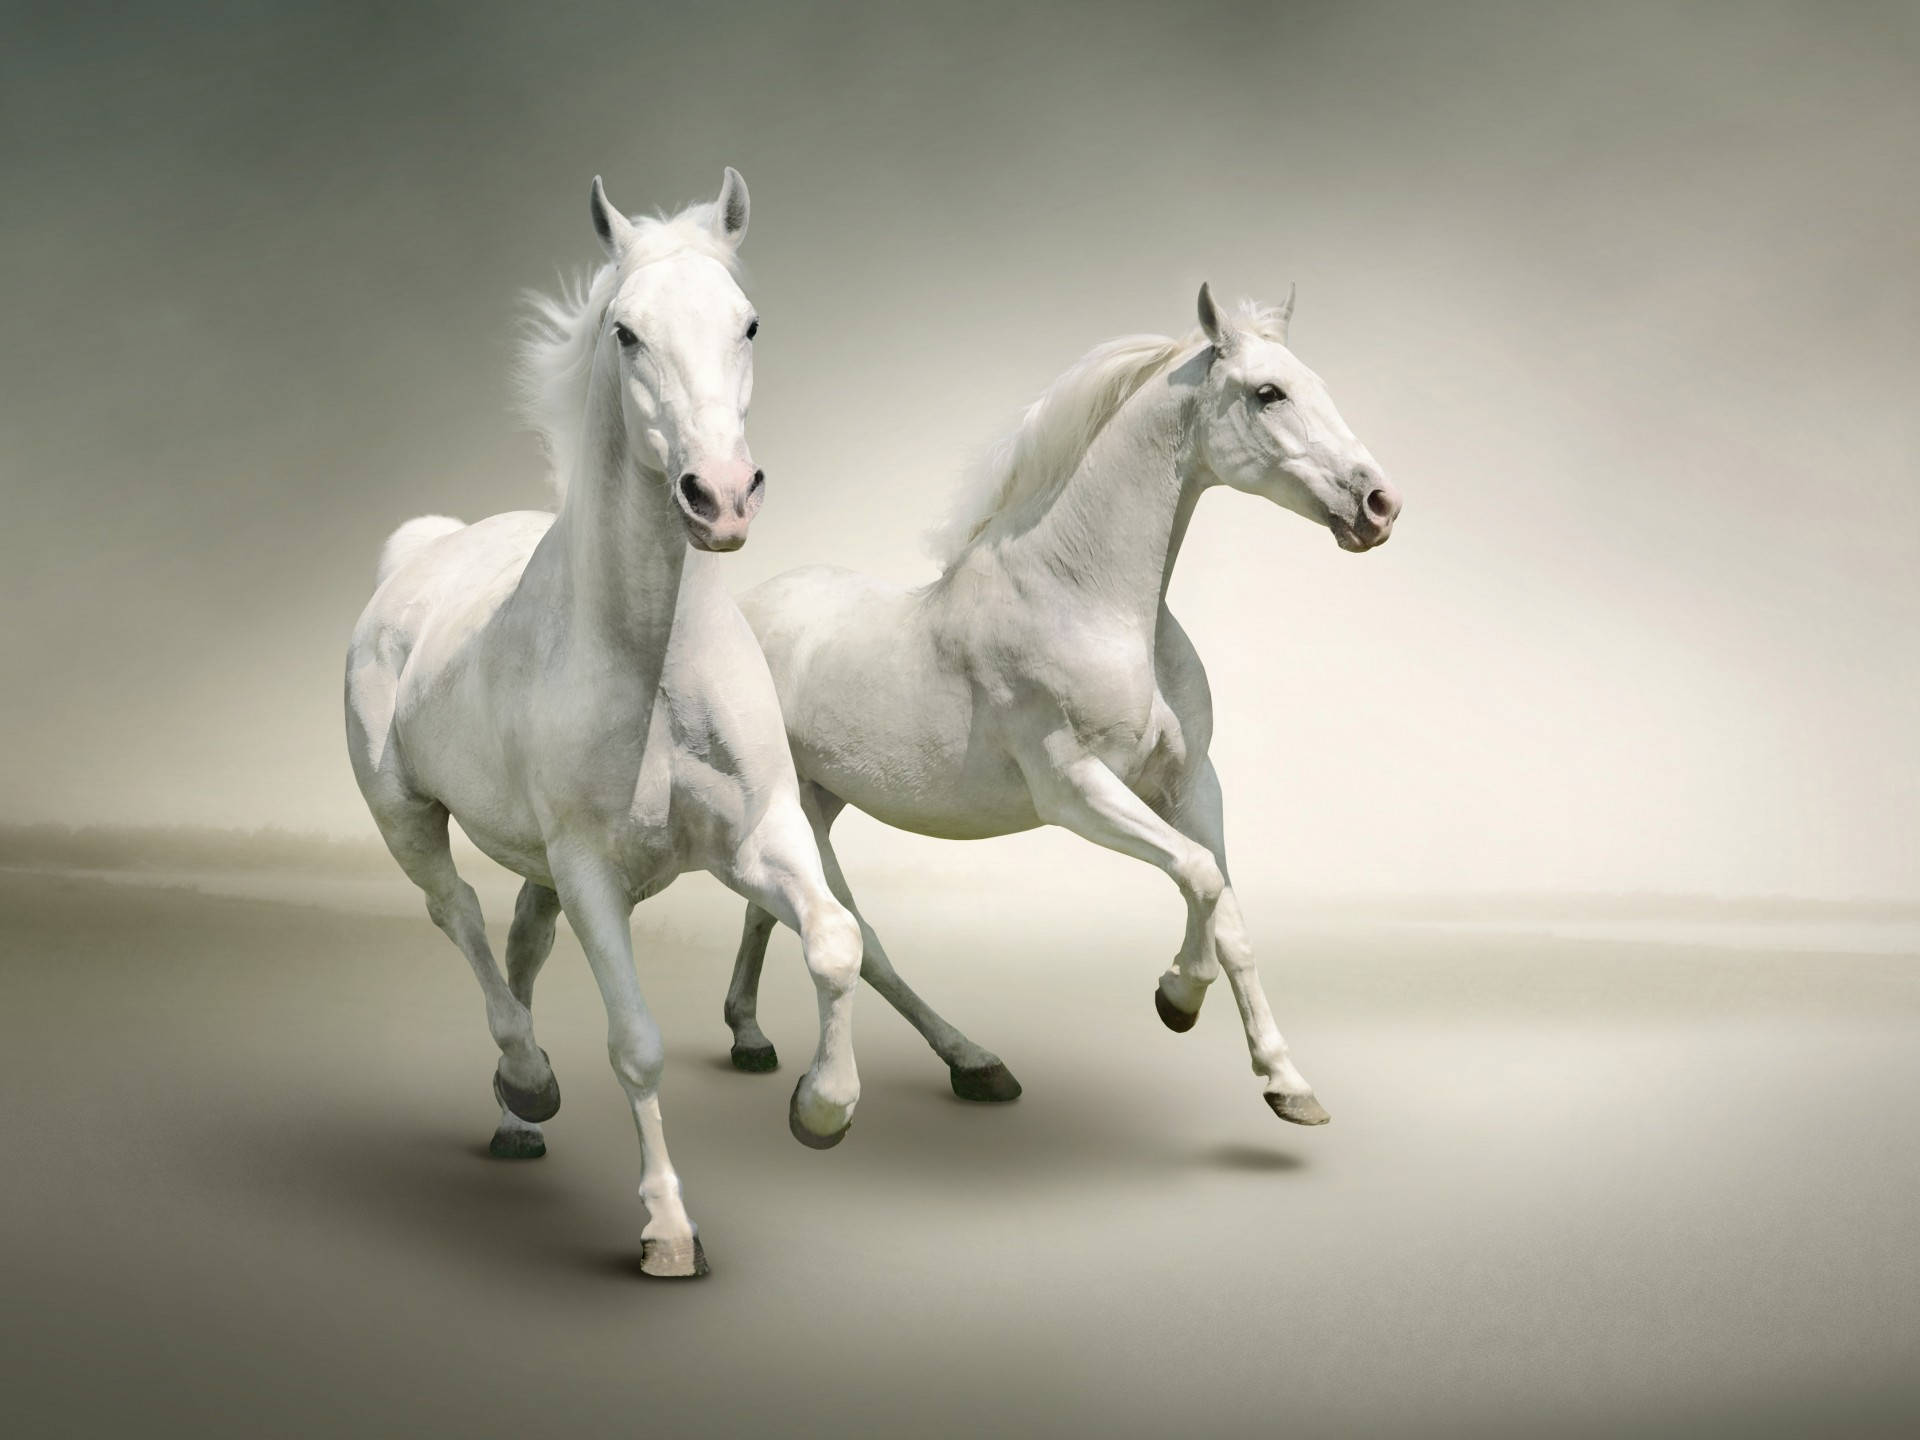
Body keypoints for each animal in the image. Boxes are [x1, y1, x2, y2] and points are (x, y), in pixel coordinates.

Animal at [344, 171, 864, 1279]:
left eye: (748, 322)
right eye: (626, 332)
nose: (721, 496)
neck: (654, 663)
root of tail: (420, 553)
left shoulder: (758, 837)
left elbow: (836, 940)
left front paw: (821, 1108)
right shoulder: (592, 873)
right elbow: (637, 1044)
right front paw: (667, 1231)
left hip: (535, 863)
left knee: (519, 939)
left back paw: (515, 1116)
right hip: (406, 818)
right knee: (457, 915)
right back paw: (527, 1079)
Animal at [722, 282, 1401, 1129]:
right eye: (1268, 392)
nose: (1379, 504)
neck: (1088, 599)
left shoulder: (1192, 785)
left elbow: (1230, 913)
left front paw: (1287, 1083)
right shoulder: (1076, 791)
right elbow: (1201, 878)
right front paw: (1177, 997)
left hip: (819, 799)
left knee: (769, 912)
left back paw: (753, 1038)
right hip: (801, 812)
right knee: (856, 936)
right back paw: (962, 1064)